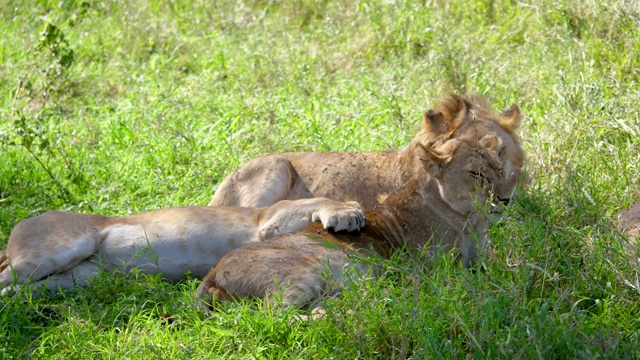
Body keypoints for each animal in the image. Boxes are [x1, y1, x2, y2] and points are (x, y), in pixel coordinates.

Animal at [1, 197, 364, 296]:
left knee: (19, 290)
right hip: (55, 250)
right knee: (6, 277)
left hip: (78, 276)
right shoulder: (269, 219)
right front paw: (348, 214)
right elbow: (320, 199)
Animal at [195, 136, 516, 310]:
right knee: (273, 314)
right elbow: (468, 281)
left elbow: (508, 270)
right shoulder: (432, 271)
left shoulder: (483, 259)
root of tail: (212, 275)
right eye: (476, 174)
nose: (505, 199)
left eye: (499, 168)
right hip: (304, 272)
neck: (470, 221)